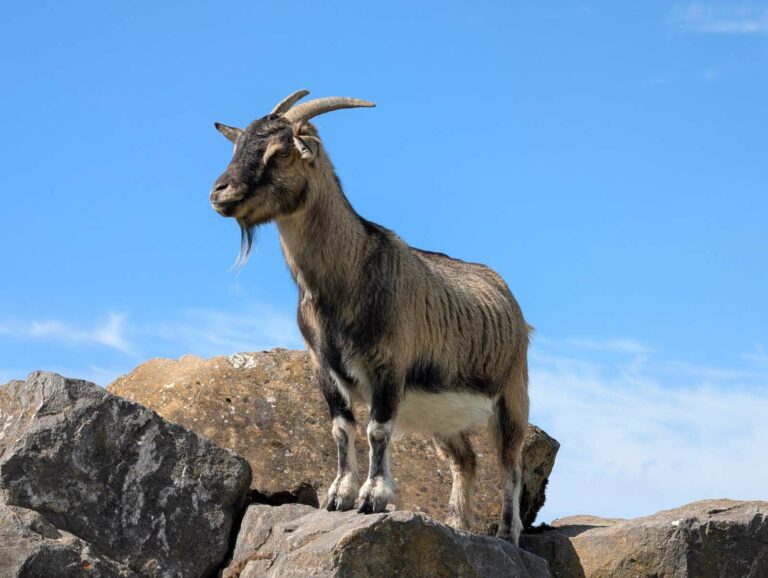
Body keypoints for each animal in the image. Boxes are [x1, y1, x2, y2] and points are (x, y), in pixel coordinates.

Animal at [209, 90, 531, 543]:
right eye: (237, 146)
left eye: (280, 151)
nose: (220, 192)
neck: (350, 272)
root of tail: (509, 299)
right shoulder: (323, 367)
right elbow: (342, 428)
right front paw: (338, 495)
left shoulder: (389, 365)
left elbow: (377, 430)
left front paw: (373, 497)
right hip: (445, 417)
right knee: (465, 460)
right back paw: (456, 525)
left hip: (512, 395)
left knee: (510, 462)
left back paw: (506, 533)